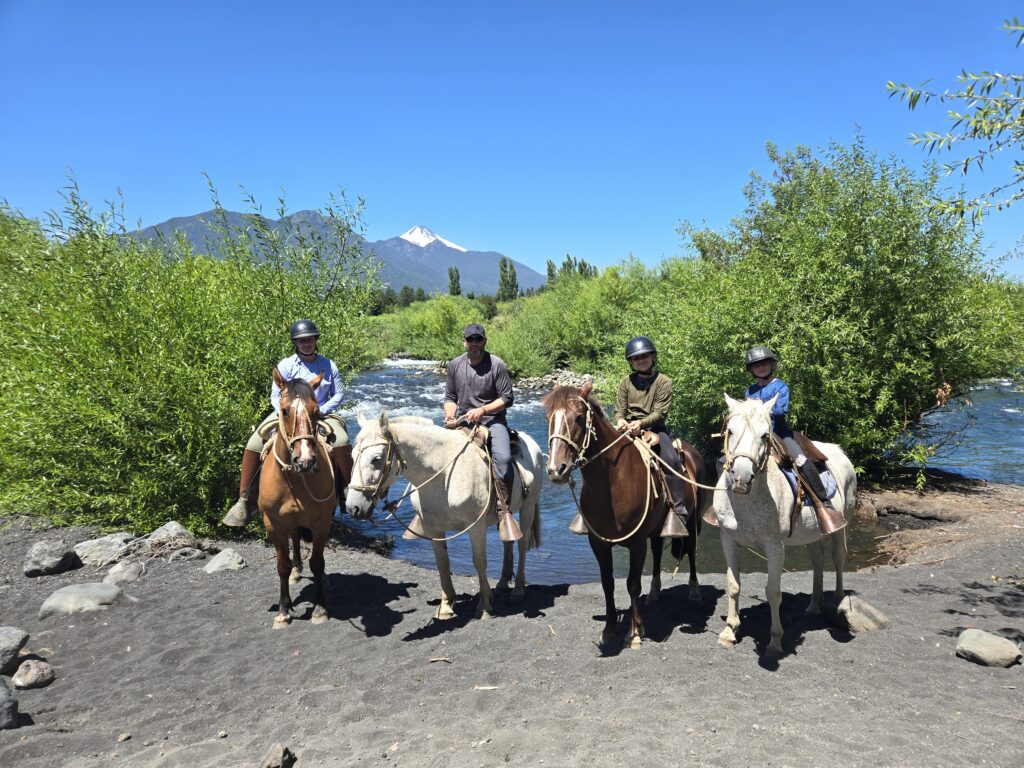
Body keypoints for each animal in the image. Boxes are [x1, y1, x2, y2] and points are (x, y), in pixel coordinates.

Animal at [258, 368, 336, 628]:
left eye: (317, 411)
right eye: (284, 411)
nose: (305, 460)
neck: (294, 478)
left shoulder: (322, 522)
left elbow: (318, 563)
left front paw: (320, 608)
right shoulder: (272, 523)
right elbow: (281, 565)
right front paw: (283, 610)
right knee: (294, 538)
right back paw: (295, 570)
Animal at [345, 412, 543, 620]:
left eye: (376, 459)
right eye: (352, 455)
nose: (353, 507)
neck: (443, 473)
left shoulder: (476, 527)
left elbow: (479, 562)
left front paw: (484, 606)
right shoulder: (433, 528)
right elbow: (442, 562)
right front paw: (446, 606)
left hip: (528, 506)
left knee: (522, 543)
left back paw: (518, 590)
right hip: (505, 515)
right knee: (508, 542)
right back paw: (503, 583)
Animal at [543, 381, 706, 650]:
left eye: (578, 418)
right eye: (549, 418)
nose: (557, 469)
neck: (612, 481)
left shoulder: (637, 542)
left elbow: (632, 584)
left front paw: (635, 632)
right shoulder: (598, 543)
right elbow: (607, 583)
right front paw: (609, 630)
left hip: (693, 521)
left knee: (691, 550)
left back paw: (694, 591)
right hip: (657, 529)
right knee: (658, 551)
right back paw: (654, 593)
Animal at [714, 394, 857, 655]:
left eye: (764, 435)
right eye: (730, 431)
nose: (741, 477)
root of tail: (838, 450)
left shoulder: (774, 547)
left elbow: (773, 591)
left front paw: (775, 640)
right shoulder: (728, 540)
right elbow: (733, 585)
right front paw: (729, 631)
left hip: (841, 526)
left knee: (838, 559)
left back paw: (839, 603)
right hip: (813, 534)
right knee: (818, 560)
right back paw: (814, 605)